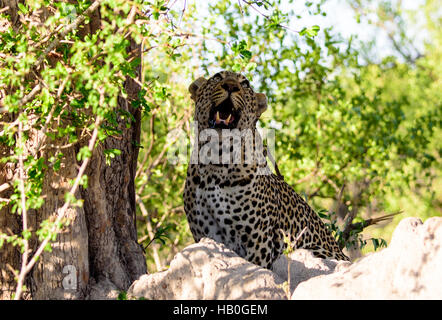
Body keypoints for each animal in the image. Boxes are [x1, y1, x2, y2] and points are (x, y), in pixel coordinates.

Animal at [183, 70, 348, 270]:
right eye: (217, 77)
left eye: (245, 84)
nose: (231, 86)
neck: (215, 162)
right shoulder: (205, 234)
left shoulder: (258, 242)